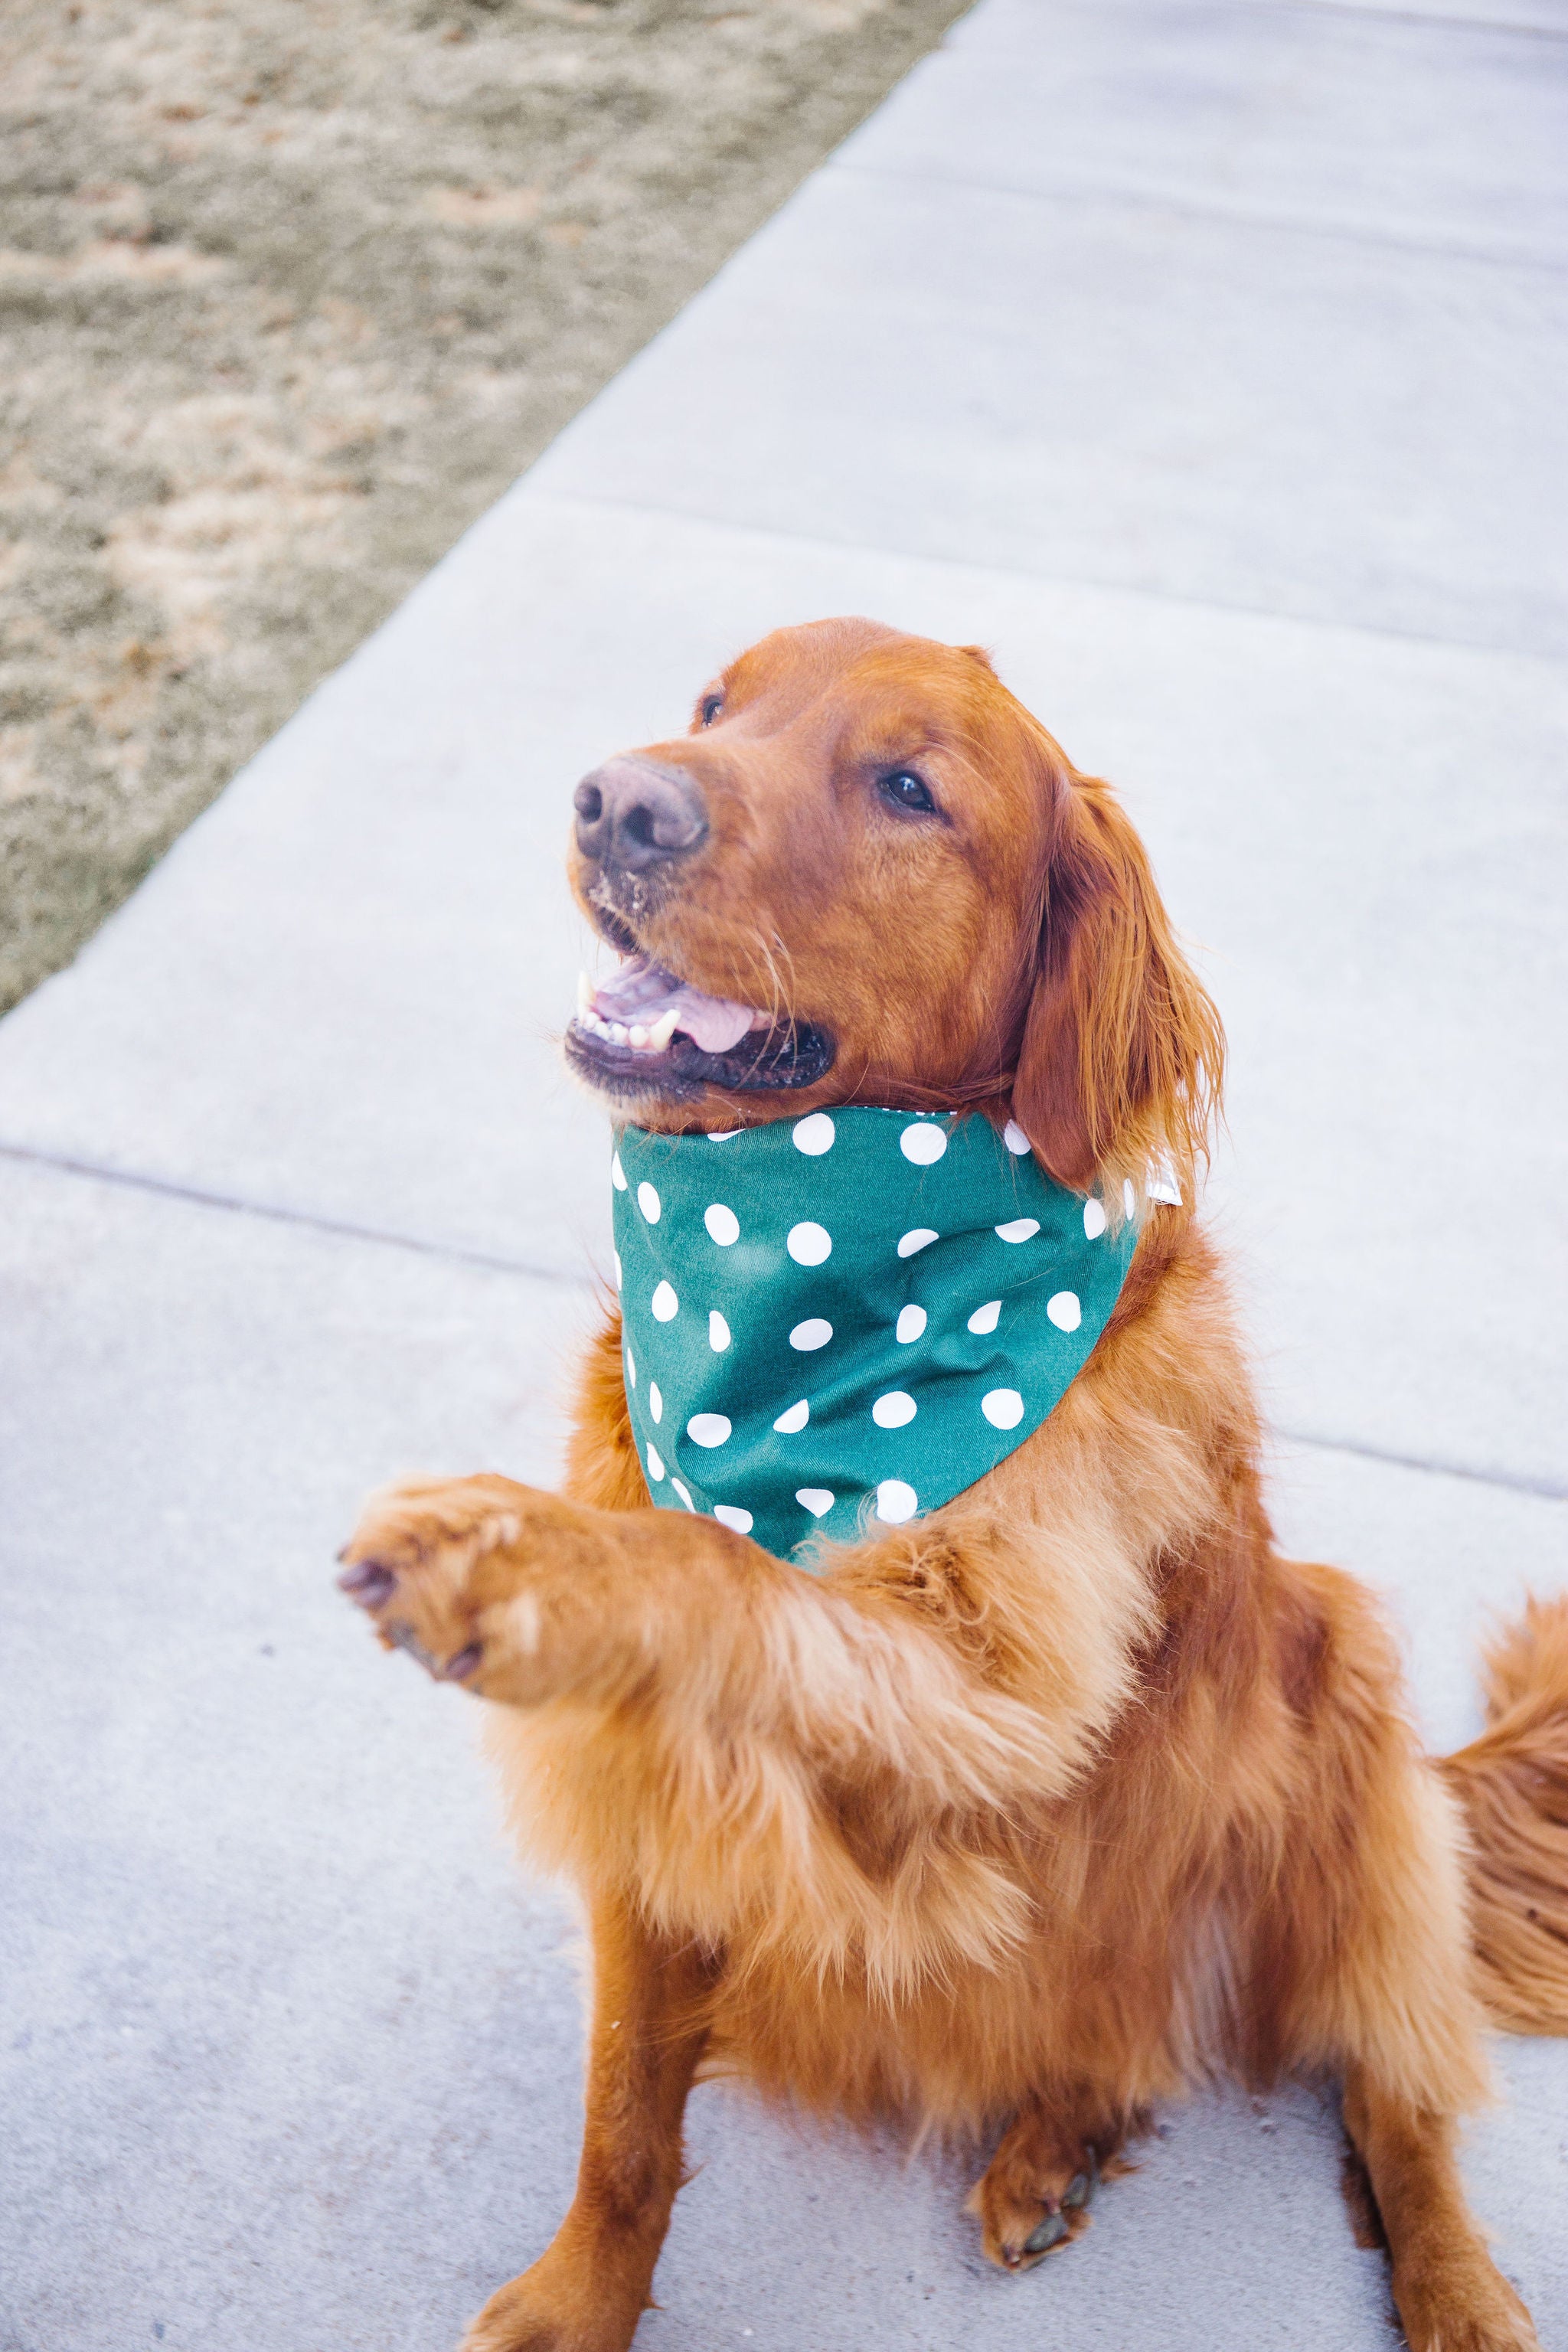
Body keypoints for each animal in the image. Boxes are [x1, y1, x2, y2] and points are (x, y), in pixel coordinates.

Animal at [338, 621, 1560, 2352]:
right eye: (715, 705)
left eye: (908, 788)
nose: (615, 802)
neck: (803, 1273)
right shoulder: (648, 1800)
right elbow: (623, 2113)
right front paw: (578, 2301)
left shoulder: (967, 1731)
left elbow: (728, 1574)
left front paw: (511, 1559)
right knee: (1124, 2050)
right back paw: (1056, 2143)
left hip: (1349, 1735)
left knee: (1395, 2094)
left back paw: (1452, 2281)